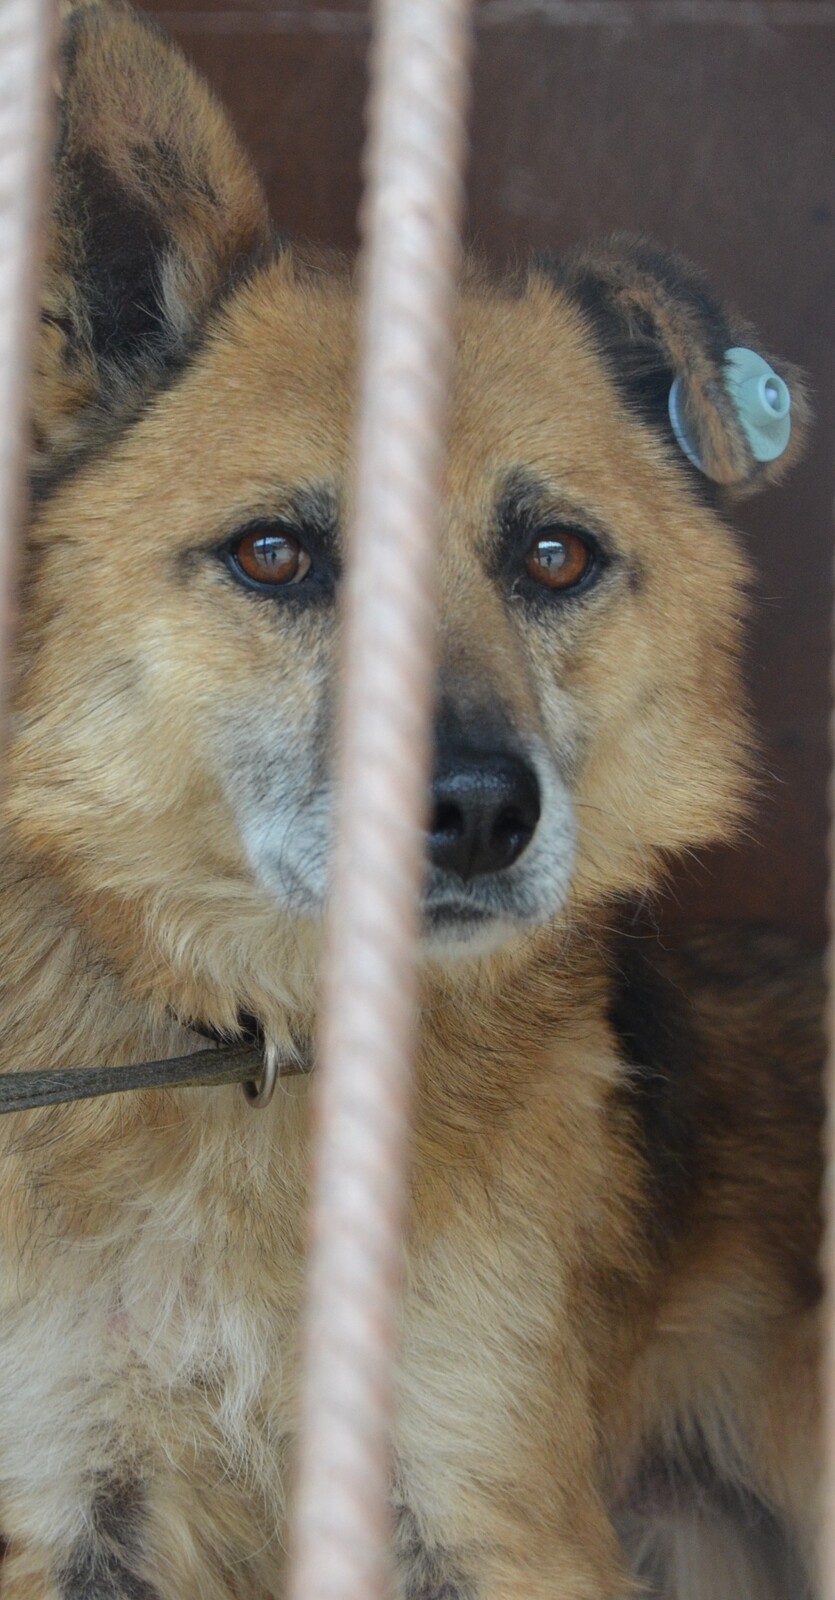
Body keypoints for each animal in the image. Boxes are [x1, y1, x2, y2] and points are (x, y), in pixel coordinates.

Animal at [0, 2, 822, 1597]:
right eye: (273, 555)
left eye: (555, 557)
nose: (481, 817)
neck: (266, 1056)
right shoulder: (61, 1499)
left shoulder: (487, 1499)